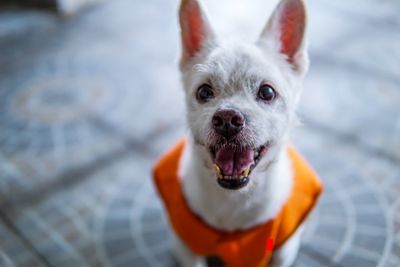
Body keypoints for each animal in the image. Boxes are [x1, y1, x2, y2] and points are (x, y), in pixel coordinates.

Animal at [152, 0, 322, 267]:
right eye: (203, 92)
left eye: (267, 92)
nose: (227, 119)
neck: (234, 200)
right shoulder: (184, 247)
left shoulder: (283, 250)